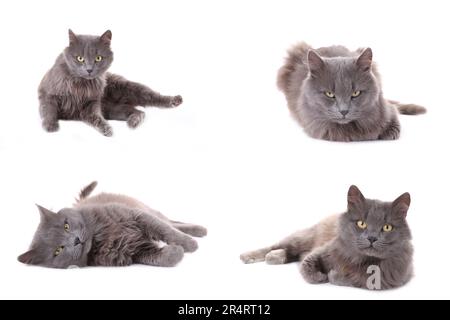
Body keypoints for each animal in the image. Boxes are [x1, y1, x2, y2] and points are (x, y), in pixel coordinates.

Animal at [18, 181, 207, 268]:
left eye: (66, 226)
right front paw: (176, 251)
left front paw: (190, 245)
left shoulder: (137, 215)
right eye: (58, 250)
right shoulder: (134, 252)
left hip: (145, 208)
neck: (100, 237)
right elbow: (160, 257)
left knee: (171, 222)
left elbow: (166, 231)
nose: (76, 240)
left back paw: (200, 230)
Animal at [38, 30, 183, 138]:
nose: (89, 69)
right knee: (139, 111)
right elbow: (49, 110)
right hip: (113, 109)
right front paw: (50, 126)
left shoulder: (91, 104)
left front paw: (107, 129)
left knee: (151, 98)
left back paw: (175, 100)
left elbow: (97, 118)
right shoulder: (48, 95)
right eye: (80, 58)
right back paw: (133, 122)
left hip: (129, 90)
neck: (80, 84)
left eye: (98, 58)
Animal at [241, 185, 414, 290]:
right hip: (301, 238)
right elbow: (307, 266)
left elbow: (356, 279)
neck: (361, 259)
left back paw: (275, 257)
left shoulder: (389, 278)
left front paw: (332, 274)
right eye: (361, 223)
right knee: (278, 247)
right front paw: (321, 276)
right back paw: (251, 256)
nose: (372, 238)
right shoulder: (321, 252)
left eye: (387, 227)